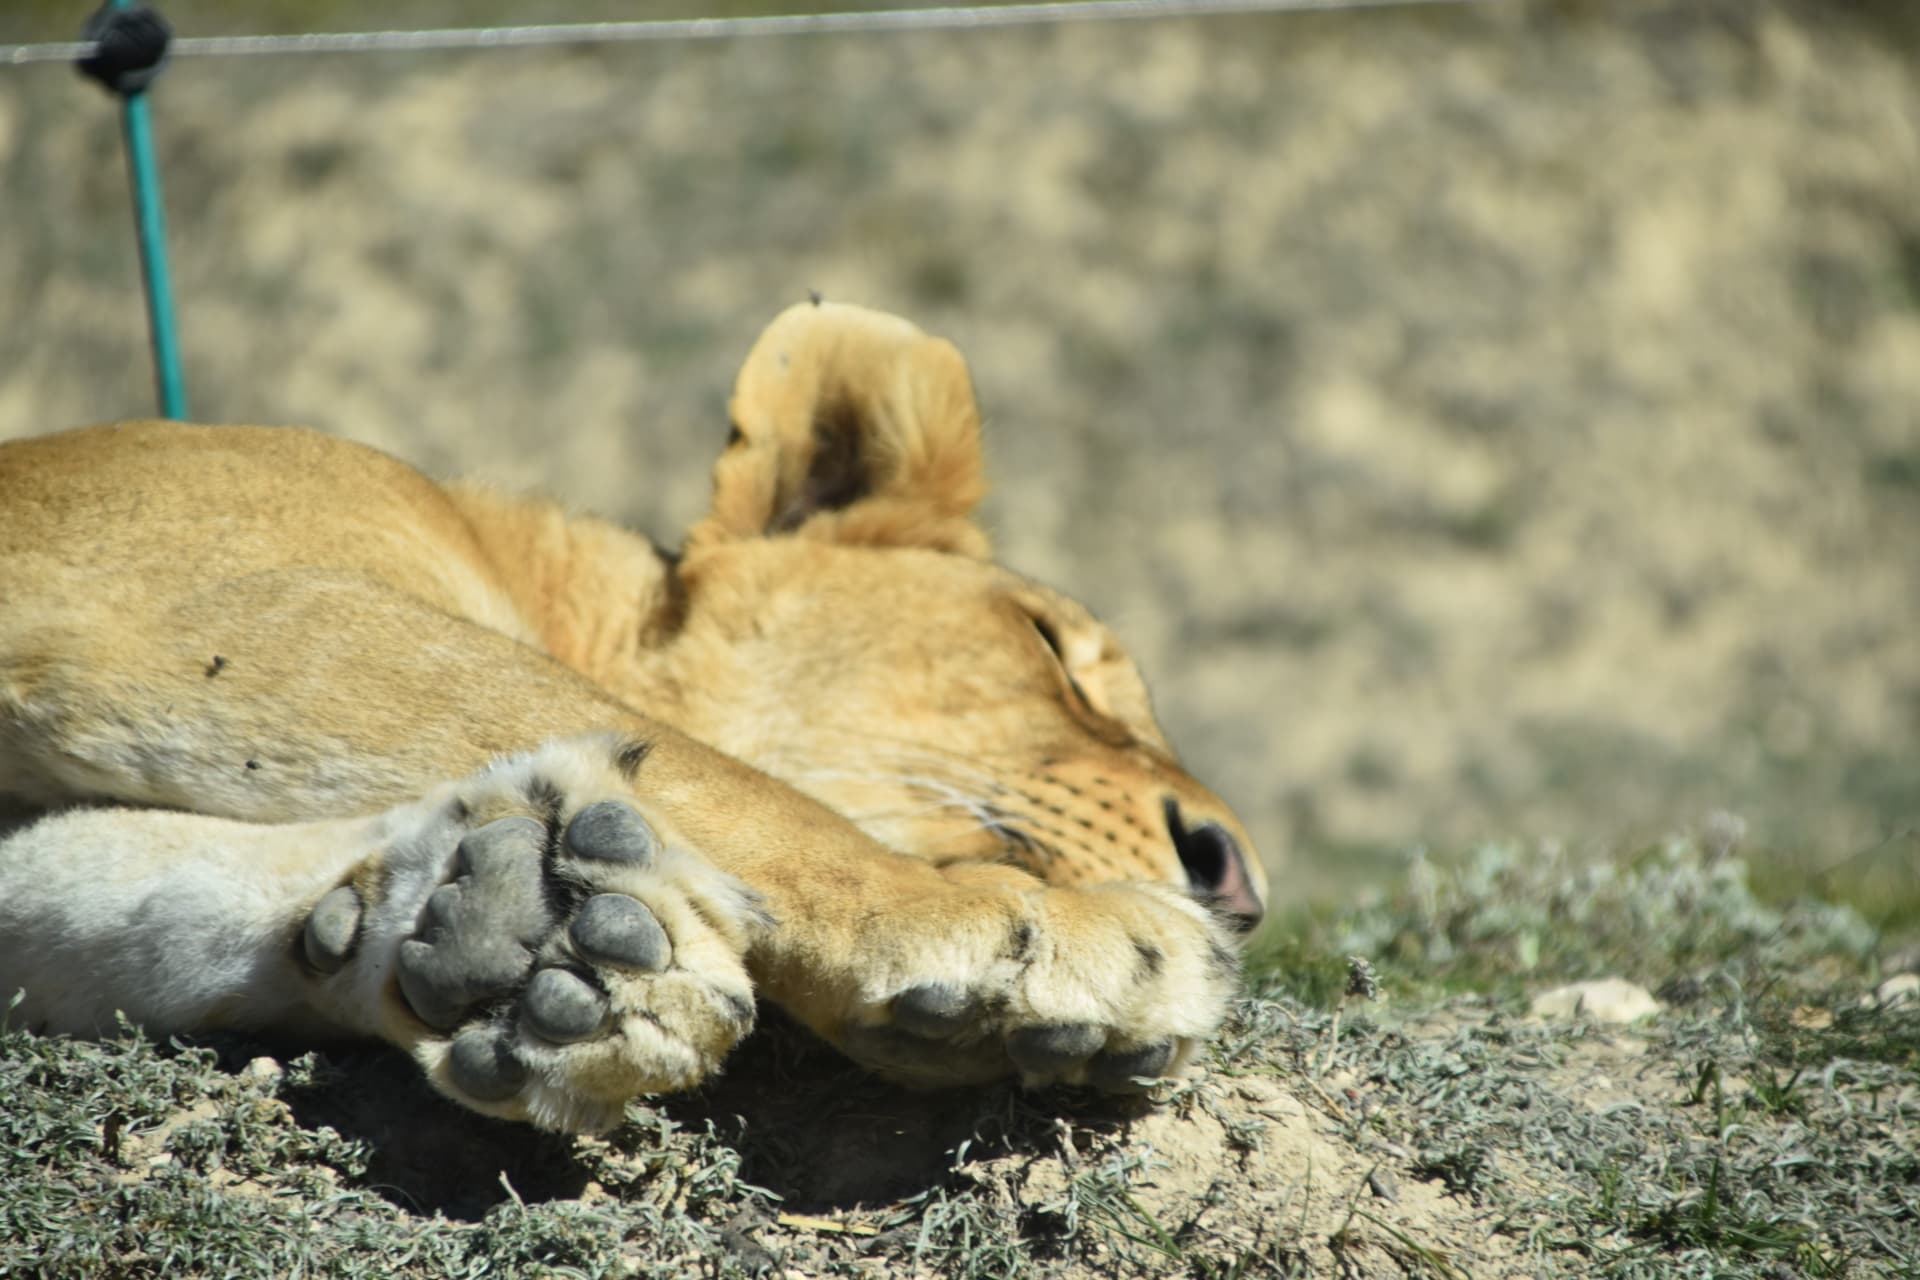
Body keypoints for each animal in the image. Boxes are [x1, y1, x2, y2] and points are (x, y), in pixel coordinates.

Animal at [0, 301, 1267, 1128]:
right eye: (1053, 648)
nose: (1241, 883)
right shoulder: (210, 600)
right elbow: (719, 774)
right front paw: (1026, 930)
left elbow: (124, 890)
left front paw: (520, 940)